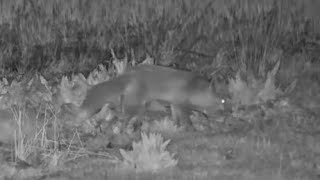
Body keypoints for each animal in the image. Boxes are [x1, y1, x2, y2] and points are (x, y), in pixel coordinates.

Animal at [68, 65, 226, 130]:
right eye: (222, 101)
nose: (225, 119)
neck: (192, 88)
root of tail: (127, 73)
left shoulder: (174, 104)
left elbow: (176, 120)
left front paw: (177, 129)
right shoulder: (181, 105)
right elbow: (187, 121)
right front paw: (192, 130)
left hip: (140, 107)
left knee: (123, 117)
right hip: (135, 107)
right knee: (121, 118)